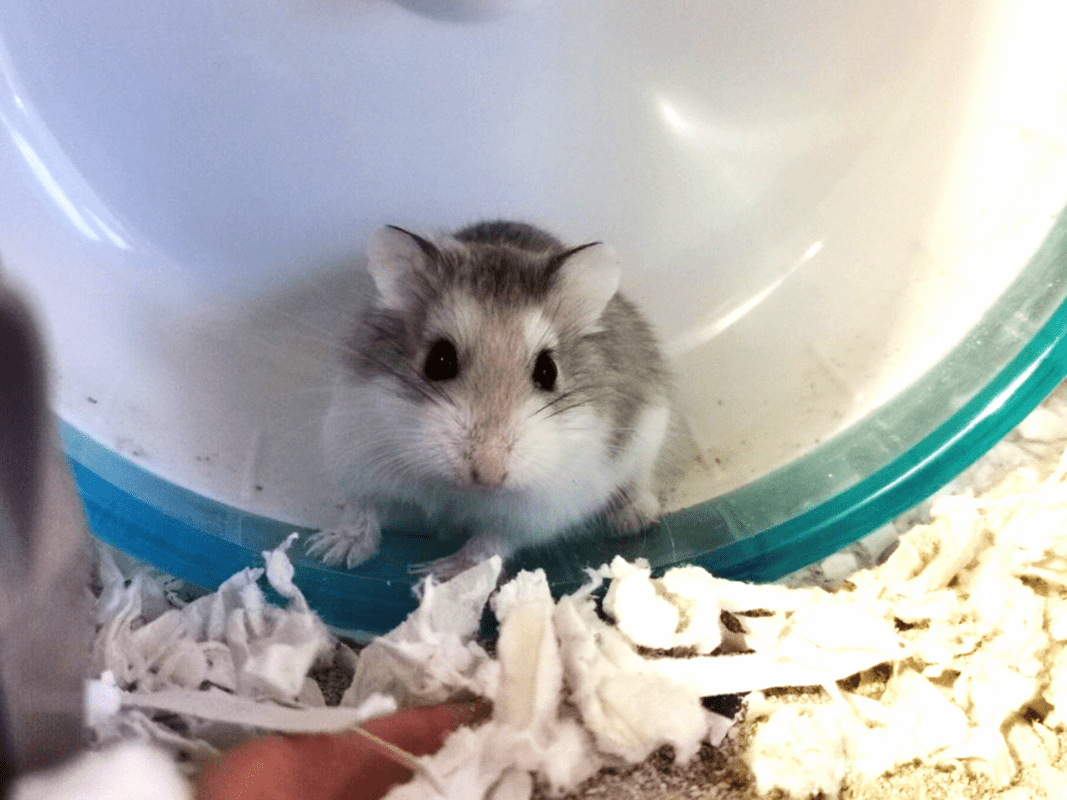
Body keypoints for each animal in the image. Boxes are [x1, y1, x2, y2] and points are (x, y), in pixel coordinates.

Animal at [309, 220, 687, 579]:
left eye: (548, 370)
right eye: (439, 360)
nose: (487, 474)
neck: (462, 489)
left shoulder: (536, 512)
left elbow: (490, 542)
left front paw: (437, 575)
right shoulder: (357, 455)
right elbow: (361, 509)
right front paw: (331, 553)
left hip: (650, 435)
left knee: (639, 481)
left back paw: (635, 520)